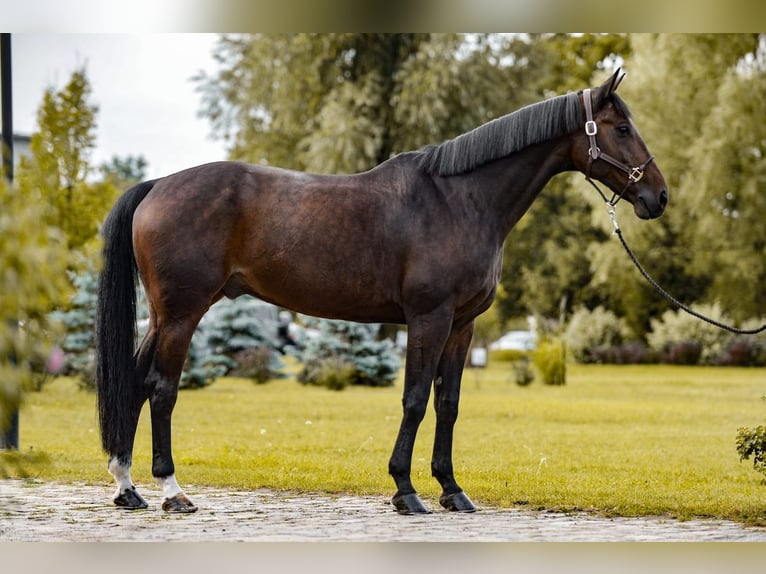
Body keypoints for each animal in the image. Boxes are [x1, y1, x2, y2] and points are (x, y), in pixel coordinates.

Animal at [95, 69, 668, 515]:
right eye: (621, 128)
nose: (658, 196)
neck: (461, 198)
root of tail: (158, 184)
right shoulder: (429, 318)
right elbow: (414, 399)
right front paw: (405, 490)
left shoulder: (463, 326)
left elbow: (448, 403)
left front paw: (452, 490)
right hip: (182, 313)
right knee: (162, 388)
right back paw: (172, 491)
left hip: (163, 316)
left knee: (134, 382)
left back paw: (128, 489)